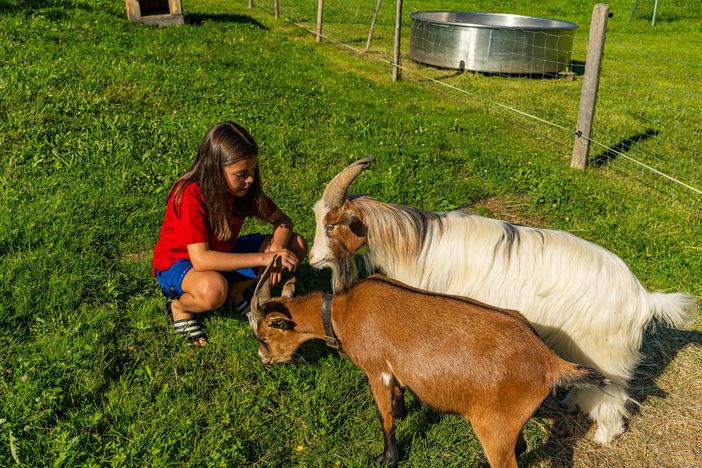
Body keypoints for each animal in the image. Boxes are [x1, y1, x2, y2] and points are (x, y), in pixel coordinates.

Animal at [250, 266, 608, 464]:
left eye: (264, 335)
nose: (264, 360)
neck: (342, 311)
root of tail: (548, 359)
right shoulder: (393, 372)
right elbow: (397, 400)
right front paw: (404, 410)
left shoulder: (376, 369)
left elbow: (384, 416)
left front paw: (387, 457)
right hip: (509, 422)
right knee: (520, 445)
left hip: (493, 429)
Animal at [310, 155, 700, 444]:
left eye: (331, 225)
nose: (313, 260)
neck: (416, 244)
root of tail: (644, 298)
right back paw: (572, 404)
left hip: (608, 355)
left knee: (615, 397)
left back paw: (605, 435)